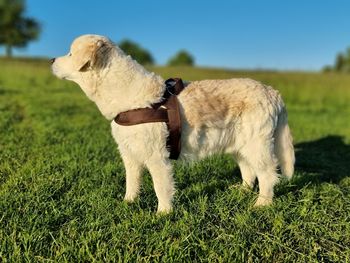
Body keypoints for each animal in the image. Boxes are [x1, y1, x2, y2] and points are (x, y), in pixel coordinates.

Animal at [51, 34, 292, 213]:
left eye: (70, 53)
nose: (51, 60)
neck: (128, 95)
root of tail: (273, 92)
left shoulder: (157, 157)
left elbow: (161, 187)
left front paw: (163, 214)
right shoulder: (129, 154)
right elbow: (132, 182)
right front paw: (129, 203)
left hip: (256, 145)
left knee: (268, 174)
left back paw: (262, 203)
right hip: (240, 145)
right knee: (248, 171)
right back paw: (242, 191)